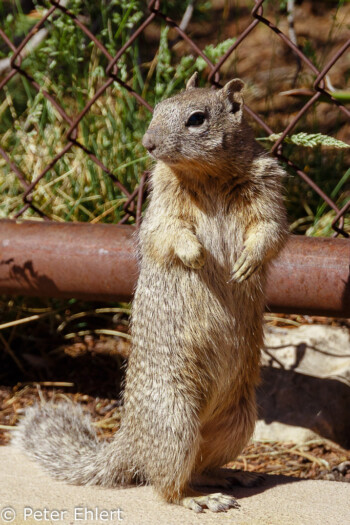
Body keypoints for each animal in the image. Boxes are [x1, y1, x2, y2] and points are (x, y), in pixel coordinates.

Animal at [13, 73, 288, 512]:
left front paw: (246, 263)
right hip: (176, 420)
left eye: (197, 118)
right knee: (166, 484)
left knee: (198, 466)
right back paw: (201, 500)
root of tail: (130, 442)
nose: (147, 143)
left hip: (238, 422)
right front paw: (197, 256)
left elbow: (270, 229)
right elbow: (167, 232)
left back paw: (230, 476)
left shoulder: (267, 189)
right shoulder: (161, 205)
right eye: (157, 108)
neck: (207, 174)